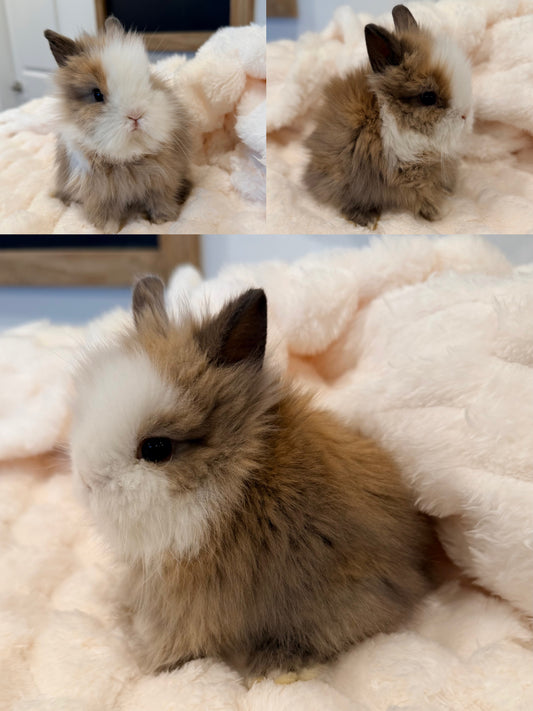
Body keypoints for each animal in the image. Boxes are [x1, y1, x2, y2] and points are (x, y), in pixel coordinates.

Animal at [44, 17, 192, 231]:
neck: (129, 156)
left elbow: (161, 202)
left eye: (148, 80)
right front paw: (107, 229)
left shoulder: (163, 181)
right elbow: (104, 215)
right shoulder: (98, 194)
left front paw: (164, 221)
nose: (136, 115)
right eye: (97, 94)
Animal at [304, 4, 473, 226]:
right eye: (428, 97)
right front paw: (437, 213)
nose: (465, 116)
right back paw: (365, 219)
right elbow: (422, 196)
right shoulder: (408, 177)